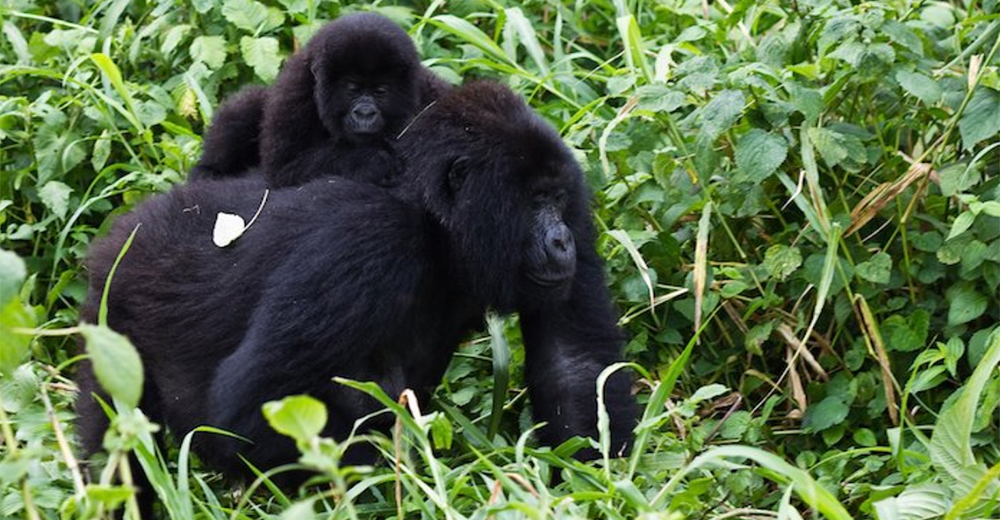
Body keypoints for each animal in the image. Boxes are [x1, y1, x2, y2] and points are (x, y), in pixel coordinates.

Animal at [78, 82, 632, 484]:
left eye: (557, 200)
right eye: (535, 202)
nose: (562, 241)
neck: (434, 222)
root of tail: (124, 231)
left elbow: (575, 362)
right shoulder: (370, 239)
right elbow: (252, 407)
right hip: (112, 309)